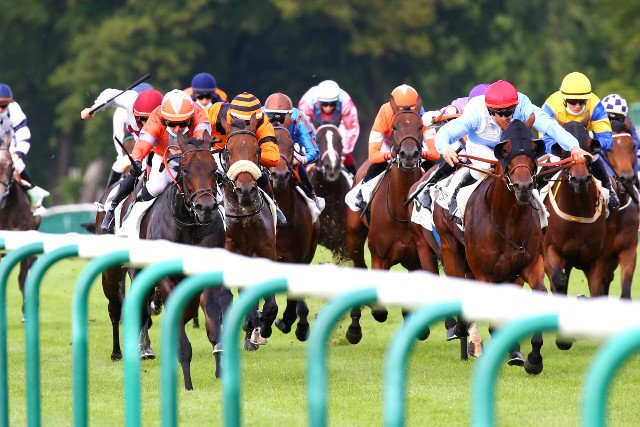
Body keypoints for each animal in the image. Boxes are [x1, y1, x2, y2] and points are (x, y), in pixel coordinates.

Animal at [96, 131, 227, 389]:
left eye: (214, 168)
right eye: (185, 169)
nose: (205, 207)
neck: (187, 223)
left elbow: (210, 313)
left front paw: (219, 360)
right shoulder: (165, 277)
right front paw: (187, 380)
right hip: (114, 273)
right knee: (119, 308)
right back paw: (121, 352)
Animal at [219, 115, 278, 351]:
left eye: (257, 150)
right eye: (228, 152)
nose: (245, 190)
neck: (244, 218)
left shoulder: (266, 252)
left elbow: (270, 305)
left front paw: (265, 325)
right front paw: (254, 324)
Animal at [345, 105, 424, 344]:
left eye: (420, 126)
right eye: (395, 127)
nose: (409, 155)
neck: (400, 212)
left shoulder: (418, 260)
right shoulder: (380, 257)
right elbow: (379, 311)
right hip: (354, 236)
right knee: (358, 266)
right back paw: (354, 328)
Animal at [433, 117, 548, 374]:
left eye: (533, 148)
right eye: (505, 150)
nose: (523, 187)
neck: (508, 221)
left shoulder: (530, 265)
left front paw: (533, 359)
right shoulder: (484, 273)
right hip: (450, 248)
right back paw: (464, 333)